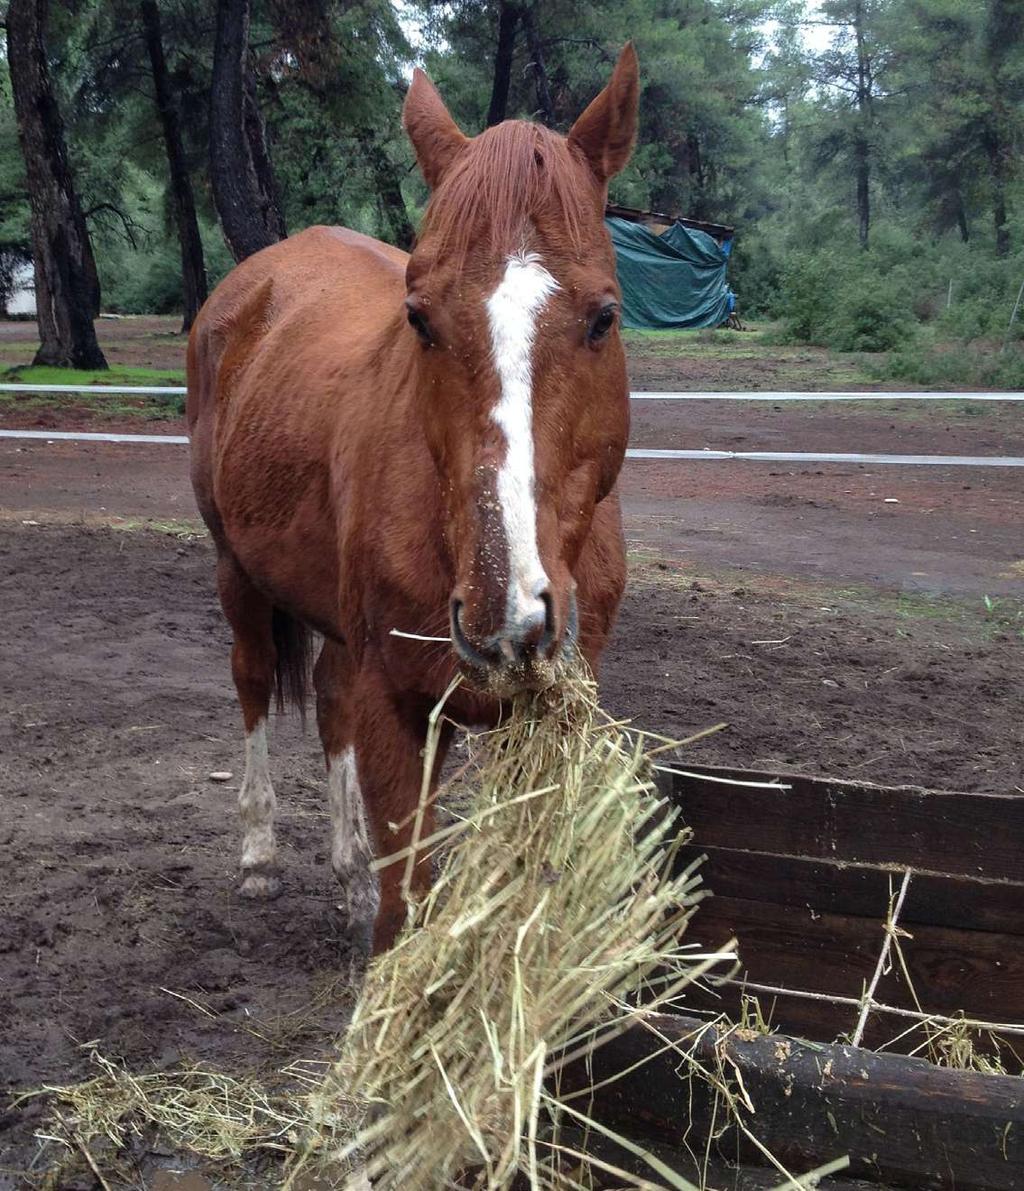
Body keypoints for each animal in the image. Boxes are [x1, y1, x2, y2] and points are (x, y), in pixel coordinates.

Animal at [190, 46, 638, 952]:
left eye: (603, 316)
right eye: (420, 319)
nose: (509, 615)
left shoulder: (550, 718)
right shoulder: (398, 712)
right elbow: (407, 910)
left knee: (326, 698)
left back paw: (348, 873)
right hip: (237, 573)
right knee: (253, 679)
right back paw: (259, 855)